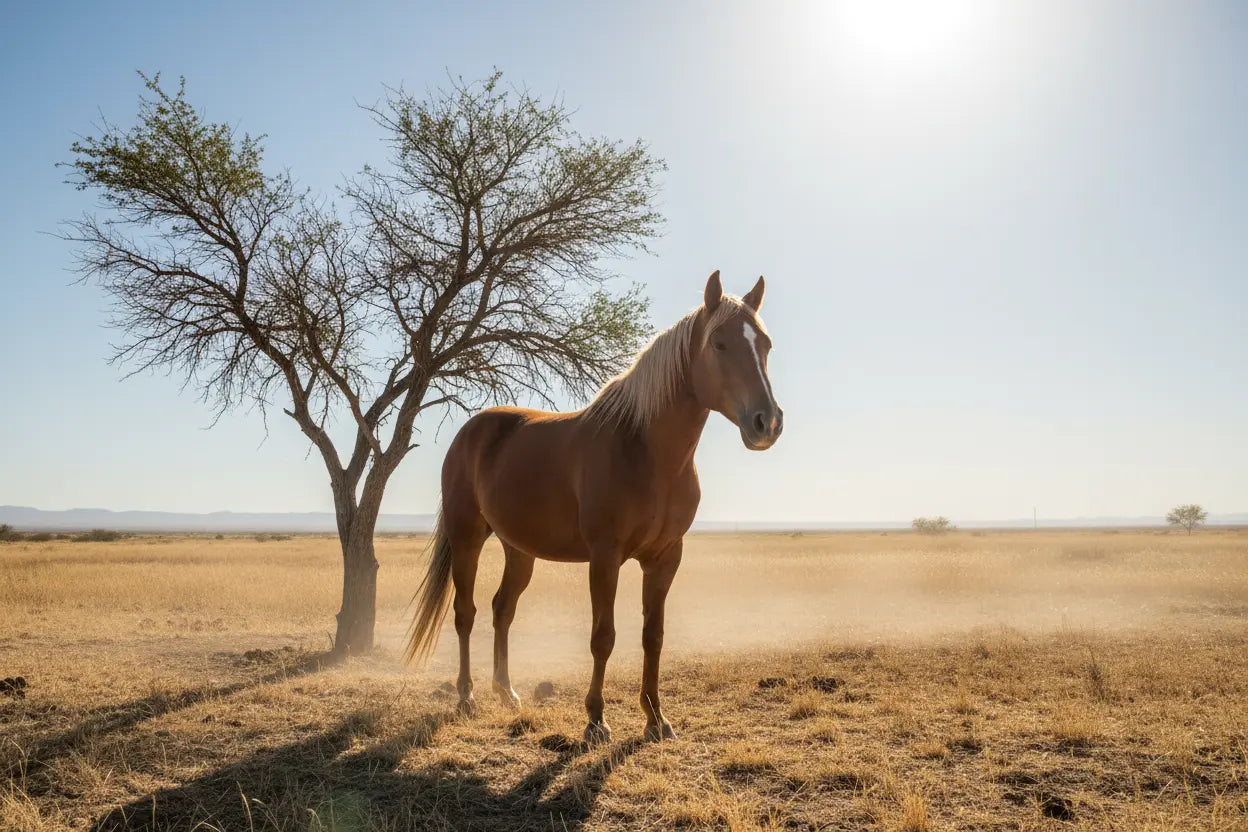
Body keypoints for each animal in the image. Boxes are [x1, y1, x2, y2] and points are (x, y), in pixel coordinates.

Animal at [406, 270, 783, 743]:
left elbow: (653, 636)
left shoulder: (665, 557)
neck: (645, 450)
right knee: (465, 613)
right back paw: (466, 697)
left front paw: (656, 719)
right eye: (719, 344)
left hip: (519, 550)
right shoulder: (605, 556)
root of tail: (470, 431)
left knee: (502, 610)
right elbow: (603, 636)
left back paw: (507, 692)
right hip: (467, 538)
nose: (767, 422)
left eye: (765, 344)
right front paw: (596, 721)